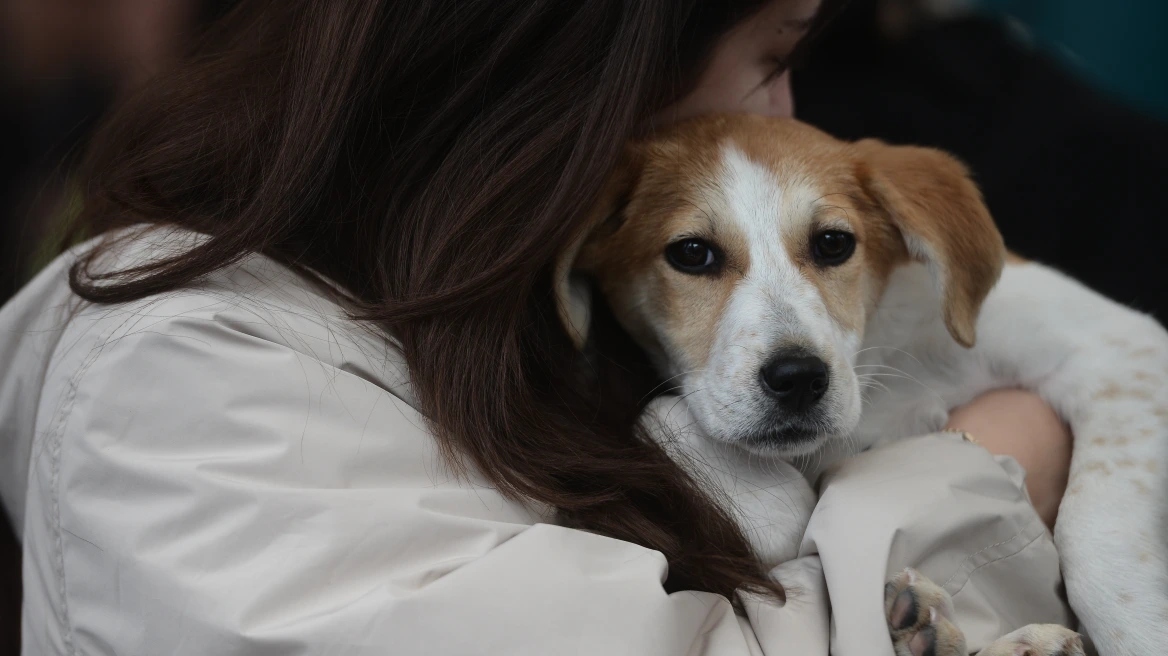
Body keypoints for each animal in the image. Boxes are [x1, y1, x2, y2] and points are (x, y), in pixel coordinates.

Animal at [555, 113, 1168, 653]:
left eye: (833, 243)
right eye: (690, 253)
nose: (798, 379)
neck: (879, 364)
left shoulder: (1121, 349)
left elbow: (1093, 533)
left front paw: (1139, 633)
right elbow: (665, 415)